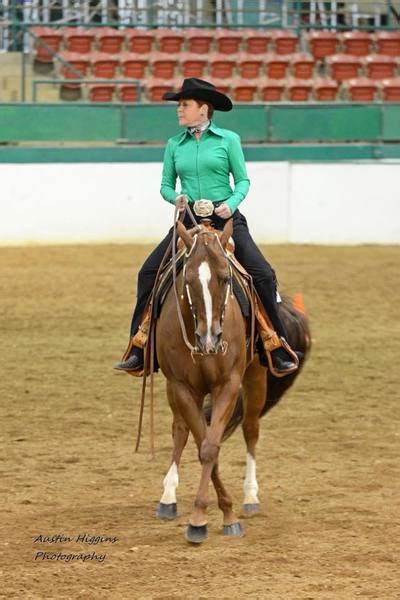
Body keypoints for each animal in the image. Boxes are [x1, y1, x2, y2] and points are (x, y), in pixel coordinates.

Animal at [155, 217, 310, 544]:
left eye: (226, 278)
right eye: (188, 280)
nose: (209, 338)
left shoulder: (227, 384)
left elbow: (210, 447)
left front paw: (218, 517)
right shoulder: (182, 387)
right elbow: (202, 443)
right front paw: (202, 517)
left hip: (256, 376)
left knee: (250, 428)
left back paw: (250, 497)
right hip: (174, 389)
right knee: (180, 430)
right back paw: (168, 497)